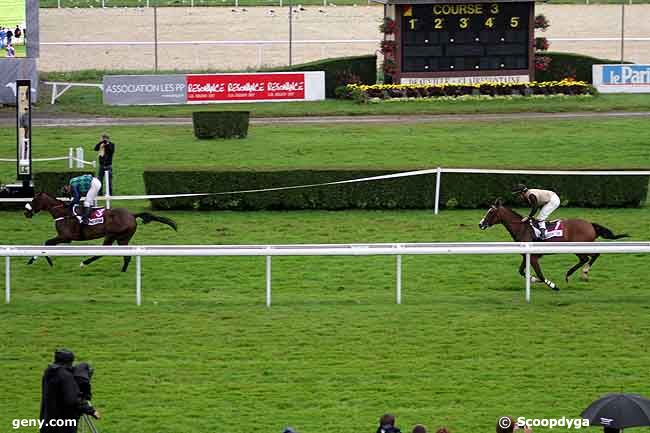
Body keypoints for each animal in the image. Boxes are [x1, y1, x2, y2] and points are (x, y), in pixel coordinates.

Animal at [23, 192, 177, 270]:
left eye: (34, 200)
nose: (26, 212)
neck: (63, 213)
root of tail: (132, 215)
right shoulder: (63, 237)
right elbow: (47, 244)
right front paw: (34, 260)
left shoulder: (66, 237)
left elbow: (47, 243)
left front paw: (45, 261)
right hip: (122, 238)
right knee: (126, 256)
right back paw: (122, 270)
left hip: (112, 235)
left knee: (102, 252)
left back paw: (84, 263)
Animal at [478, 199, 624, 290]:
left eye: (491, 212)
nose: (480, 224)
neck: (522, 228)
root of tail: (590, 224)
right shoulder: (526, 255)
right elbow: (521, 271)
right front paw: (532, 279)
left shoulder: (533, 257)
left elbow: (541, 276)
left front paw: (553, 285)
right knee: (588, 257)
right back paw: (575, 274)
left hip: (580, 246)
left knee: (592, 256)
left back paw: (582, 272)